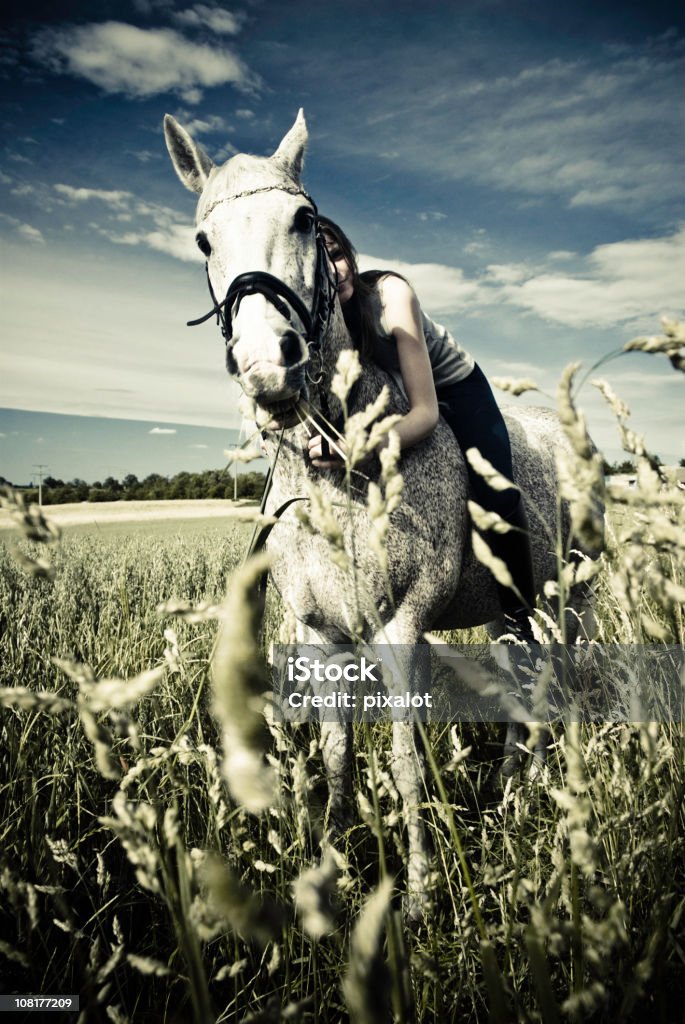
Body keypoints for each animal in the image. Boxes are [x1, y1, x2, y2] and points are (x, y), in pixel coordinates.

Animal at [162, 112, 589, 921]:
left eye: (303, 220)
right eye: (203, 241)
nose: (268, 364)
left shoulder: (401, 629)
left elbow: (404, 759)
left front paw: (418, 894)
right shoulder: (321, 636)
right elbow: (336, 754)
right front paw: (329, 867)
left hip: (565, 599)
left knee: (555, 683)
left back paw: (538, 788)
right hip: (510, 611)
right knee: (520, 689)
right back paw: (509, 789)